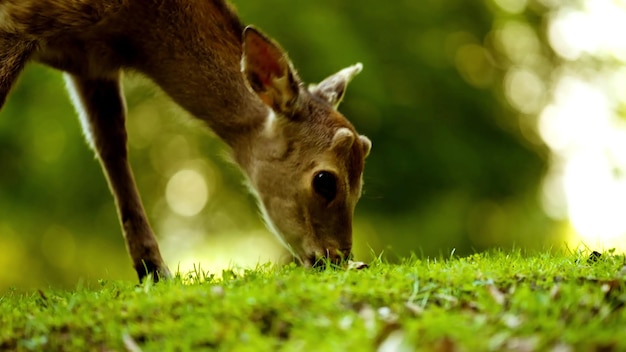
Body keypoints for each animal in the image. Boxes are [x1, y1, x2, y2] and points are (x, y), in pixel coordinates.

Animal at [0, 0, 370, 280]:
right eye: (324, 180)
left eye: (360, 185)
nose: (339, 258)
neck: (125, 34)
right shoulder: (18, 22)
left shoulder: (90, 64)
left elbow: (111, 141)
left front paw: (154, 272)